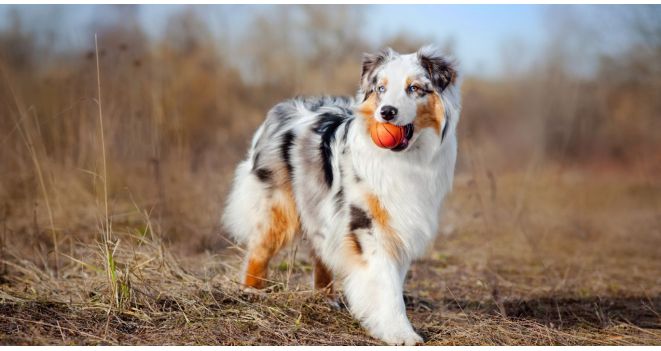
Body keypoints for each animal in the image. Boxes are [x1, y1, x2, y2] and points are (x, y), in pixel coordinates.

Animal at [222, 45, 458, 346]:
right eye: (381, 88)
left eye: (414, 88)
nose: (387, 112)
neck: (404, 159)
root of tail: (282, 108)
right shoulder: (367, 224)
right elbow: (386, 285)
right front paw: (400, 333)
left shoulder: (399, 225)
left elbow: (392, 280)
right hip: (279, 207)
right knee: (259, 250)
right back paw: (251, 292)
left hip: (320, 208)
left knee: (320, 251)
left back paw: (326, 299)